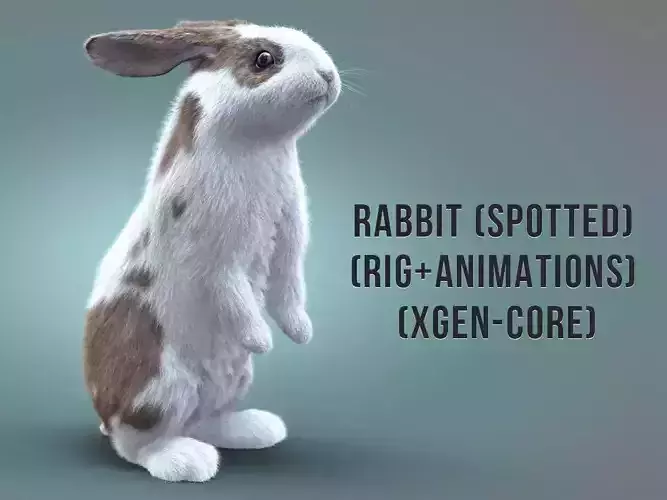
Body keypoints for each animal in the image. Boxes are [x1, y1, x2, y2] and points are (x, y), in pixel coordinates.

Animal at [82, 19, 341, 482]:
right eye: (263, 59)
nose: (327, 75)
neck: (259, 148)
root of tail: (105, 412)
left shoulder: (290, 238)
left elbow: (289, 286)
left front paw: (300, 332)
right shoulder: (213, 254)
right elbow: (231, 291)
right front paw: (260, 338)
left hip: (229, 383)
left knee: (204, 421)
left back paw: (256, 429)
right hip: (162, 387)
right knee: (137, 445)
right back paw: (187, 461)